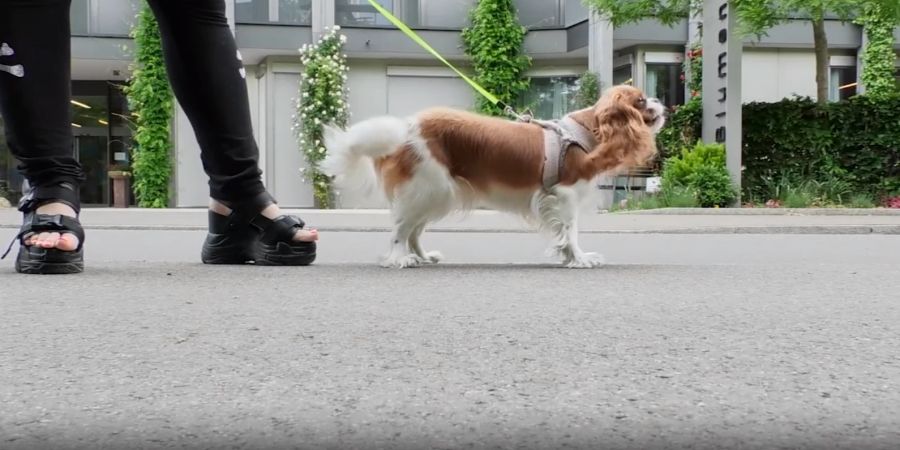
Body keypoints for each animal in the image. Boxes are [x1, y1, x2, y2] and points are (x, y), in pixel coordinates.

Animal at [320, 84, 664, 268]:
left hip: (434, 194)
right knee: (400, 229)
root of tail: (406, 126)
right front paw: (579, 258)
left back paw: (423, 256)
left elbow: (564, 235)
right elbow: (572, 231)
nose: (661, 100)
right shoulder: (564, 195)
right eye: (640, 101)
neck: (586, 130)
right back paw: (398, 258)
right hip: (426, 188)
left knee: (413, 231)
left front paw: (568, 257)